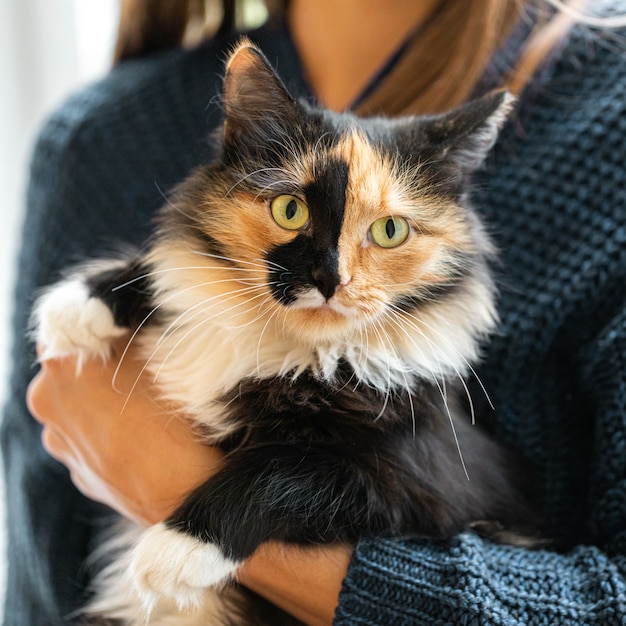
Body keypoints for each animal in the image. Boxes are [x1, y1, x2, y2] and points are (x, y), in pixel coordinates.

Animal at [31, 40, 532, 624]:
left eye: (389, 231)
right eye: (290, 210)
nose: (330, 279)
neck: (291, 349)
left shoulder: (414, 482)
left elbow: (280, 472)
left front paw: (177, 551)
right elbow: (165, 271)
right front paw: (81, 304)